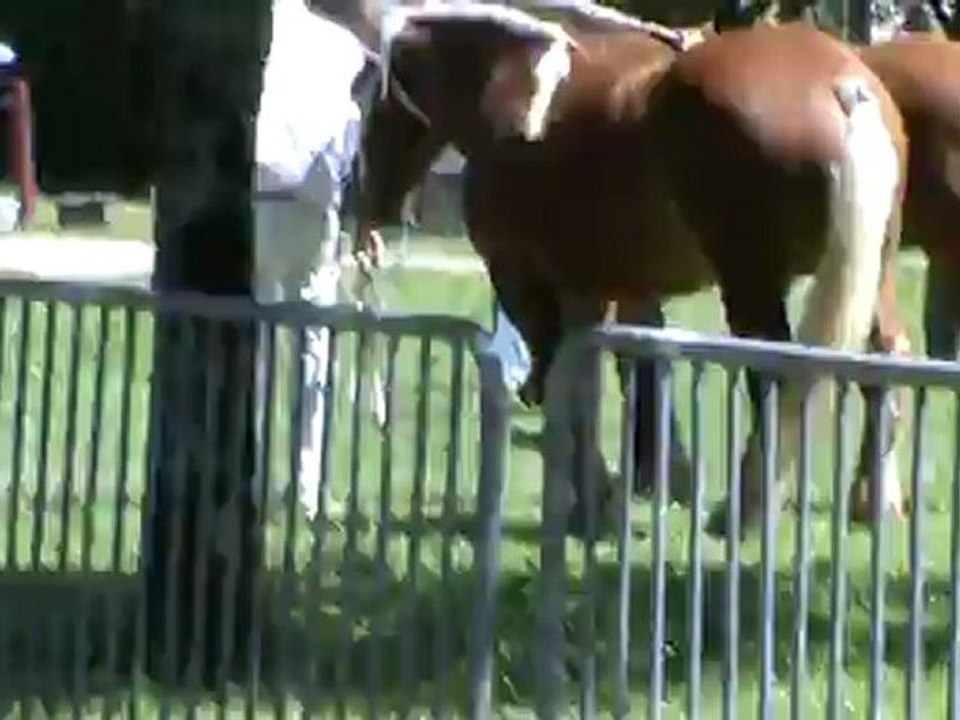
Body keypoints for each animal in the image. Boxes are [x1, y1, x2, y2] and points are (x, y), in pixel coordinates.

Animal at [358, 5, 908, 537]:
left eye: (371, 99)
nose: (369, 201)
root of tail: (843, 86)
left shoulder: (528, 284)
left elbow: (567, 385)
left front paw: (595, 505)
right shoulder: (614, 292)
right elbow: (626, 375)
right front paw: (648, 487)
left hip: (750, 282)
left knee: (778, 377)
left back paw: (744, 514)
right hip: (872, 273)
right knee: (883, 361)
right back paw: (875, 504)